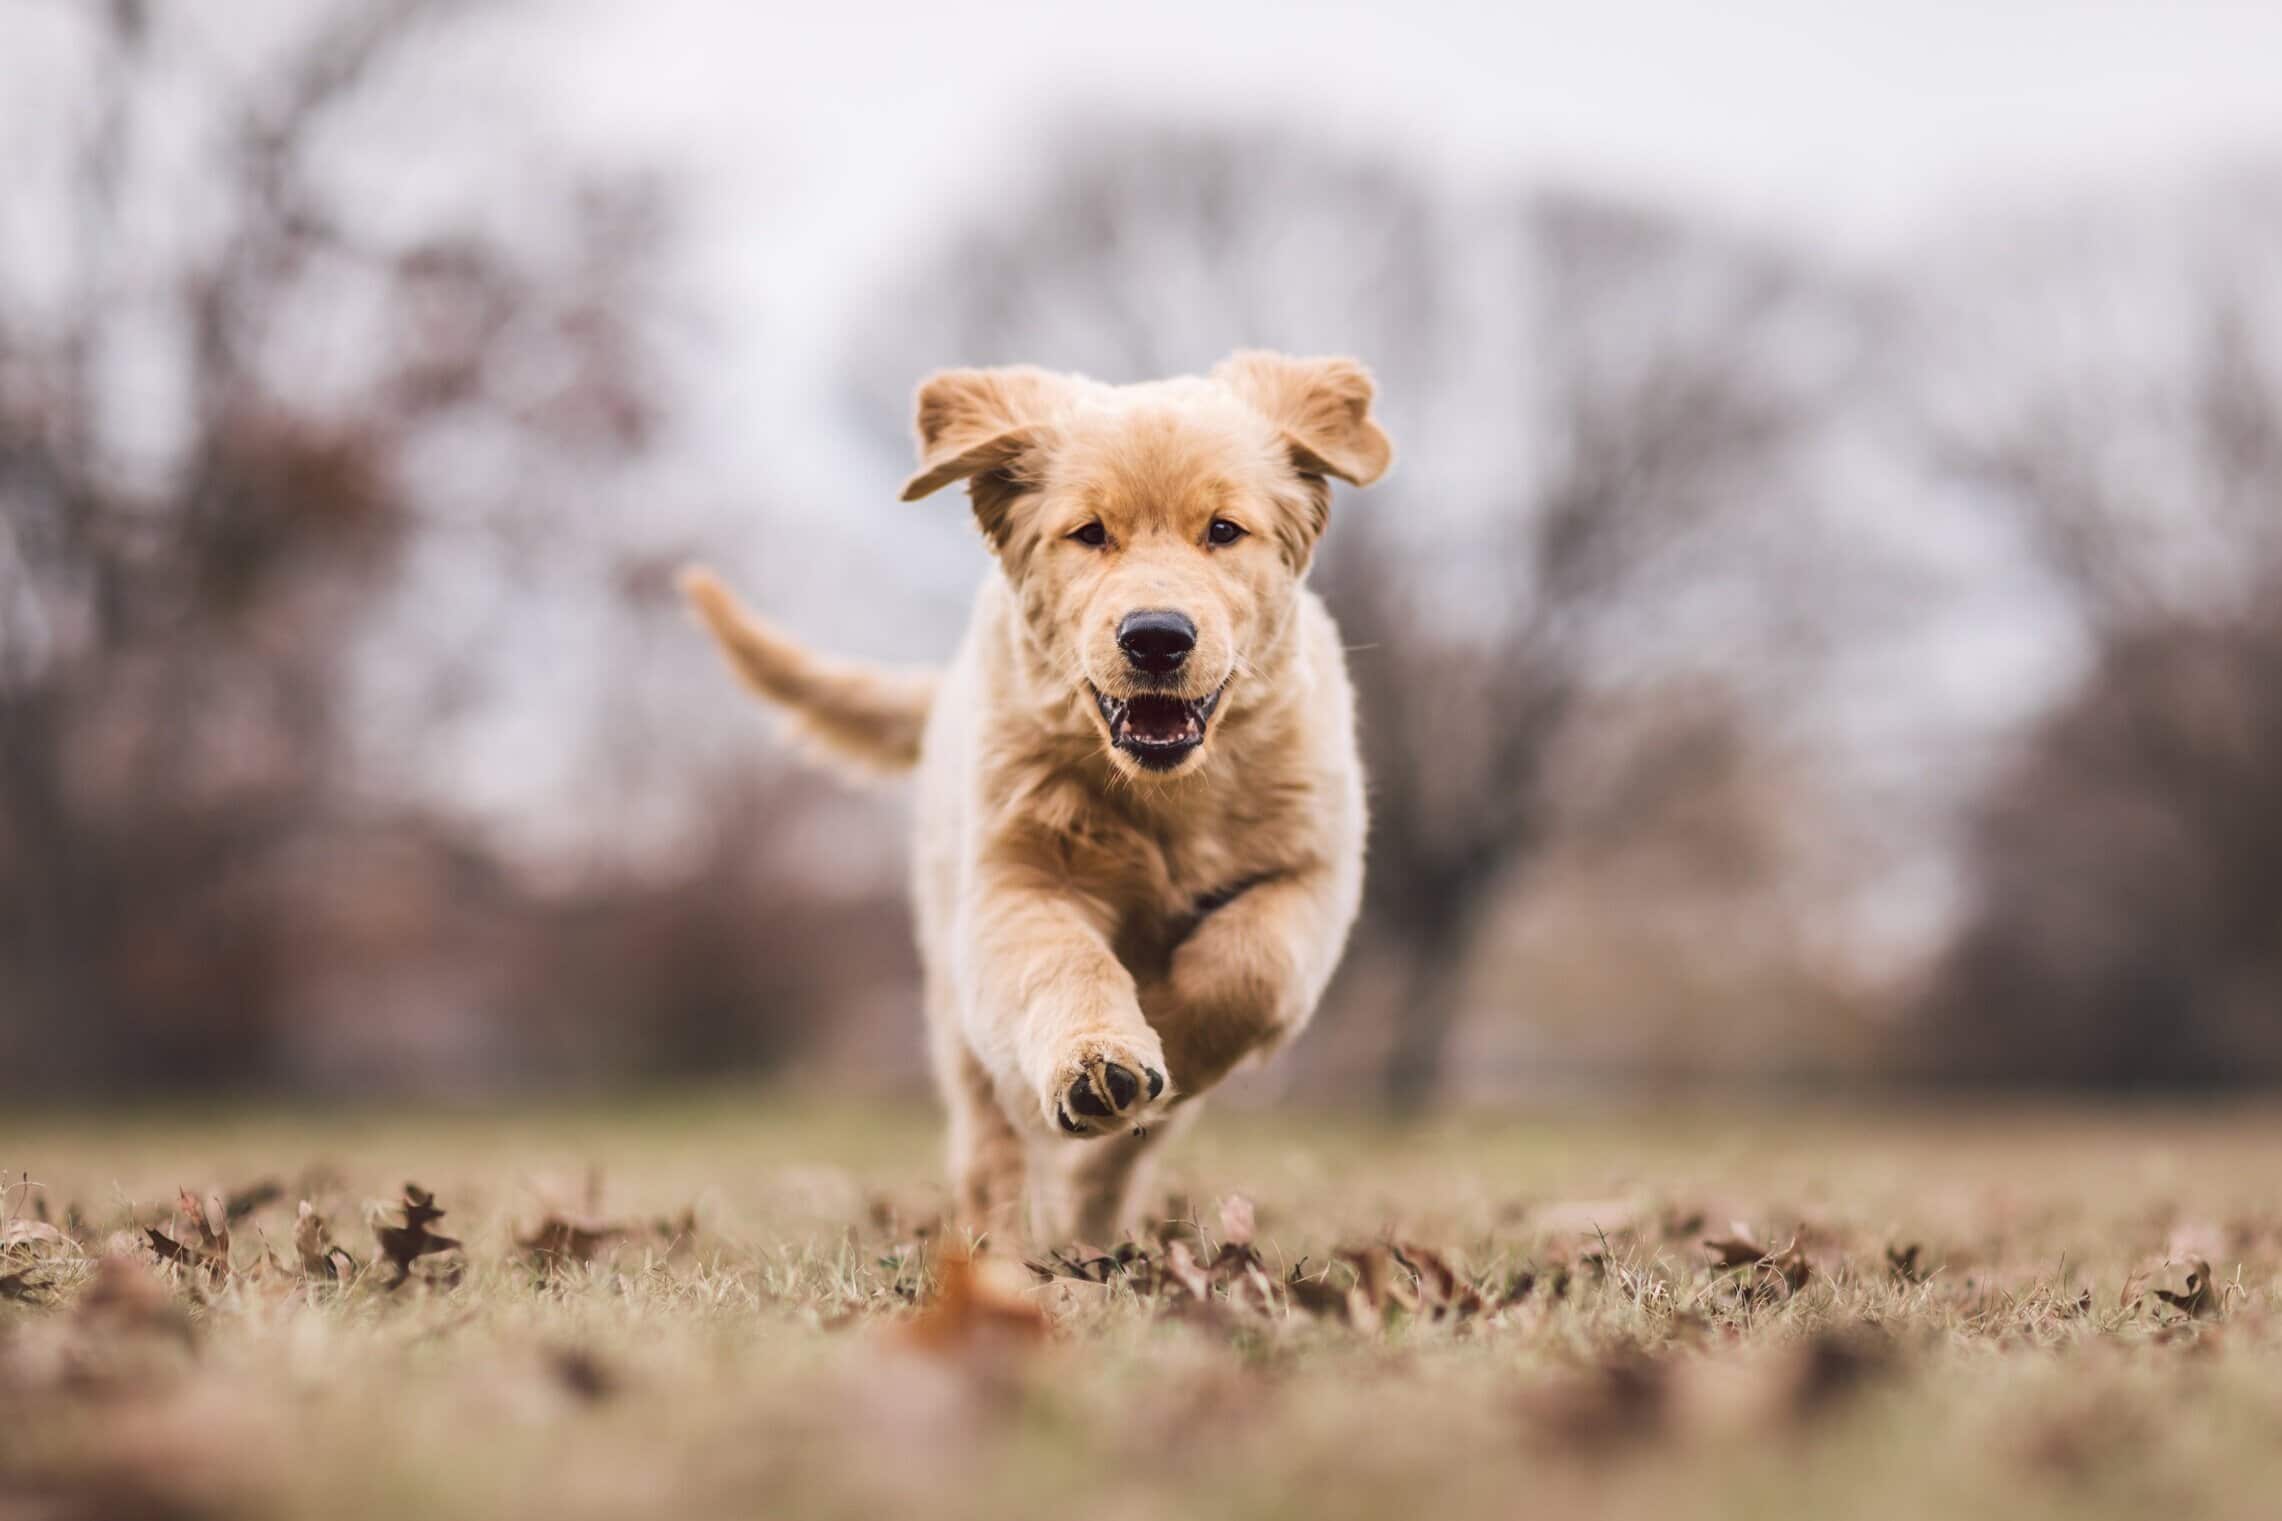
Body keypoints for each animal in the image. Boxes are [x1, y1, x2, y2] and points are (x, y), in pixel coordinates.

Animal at [675, 351, 1387, 1240]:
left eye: (1224, 530)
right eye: (1089, 533)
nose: (1157, 637)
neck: (1165, 794)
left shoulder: (1314, 872)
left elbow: (1248, 967)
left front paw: (1161, 1031)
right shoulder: (1016, 882)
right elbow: (1064, 963)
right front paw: (1100, 1059)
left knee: (1120, 1158)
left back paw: (1090, 1216)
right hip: (953, 992)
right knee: (992, 1145)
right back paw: (1006, 1242)